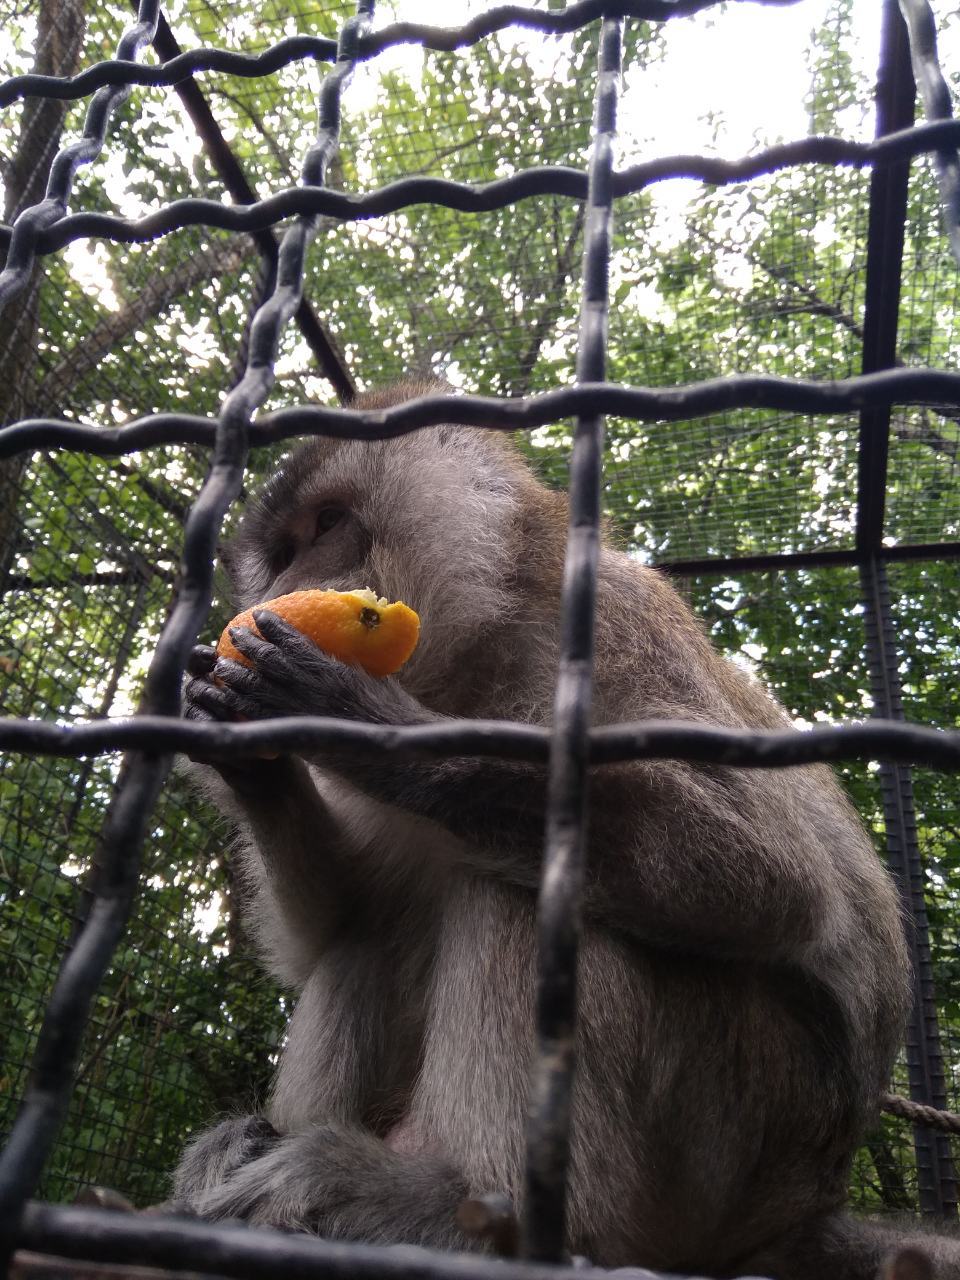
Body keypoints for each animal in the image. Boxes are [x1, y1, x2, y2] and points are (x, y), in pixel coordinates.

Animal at [172, 378, 942, 1280]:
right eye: (283, 550)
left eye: (326, 525)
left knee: (514, 887)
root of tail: (802, 1214)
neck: (472, 658)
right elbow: (332, 923)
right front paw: (242, 758)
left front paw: (367, 723)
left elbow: (772, 879)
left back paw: (476, 1215)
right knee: (373, 930)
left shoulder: (614, 619)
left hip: (740, 1130)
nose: (287, 580)